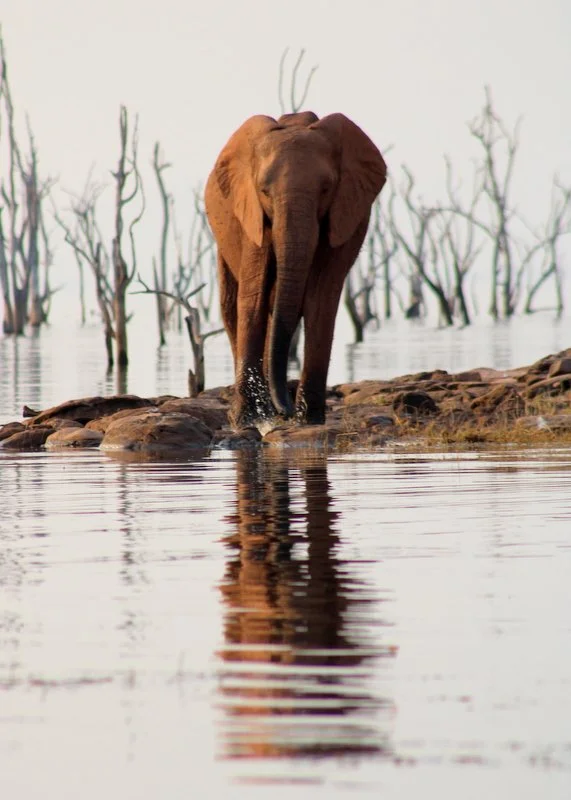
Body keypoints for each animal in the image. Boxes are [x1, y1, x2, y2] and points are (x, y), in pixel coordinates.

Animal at [205, 110, 387, 429]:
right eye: (264, 190)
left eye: (326, 188)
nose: (286, 410)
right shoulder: (252, 215)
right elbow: (253, 297)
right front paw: (247, 420)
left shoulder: (345, 215)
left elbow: (321, 299)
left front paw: (309, 419)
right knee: (232, 306)